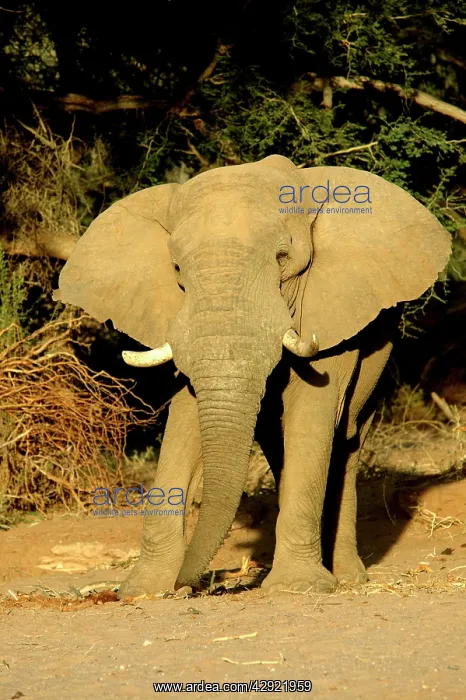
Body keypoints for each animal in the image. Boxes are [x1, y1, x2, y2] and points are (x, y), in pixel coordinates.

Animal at [54, 155, 451, 595]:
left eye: (282, 258)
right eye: (177, 269)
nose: (193, 583)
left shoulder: (329, 308)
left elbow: (313, 415)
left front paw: (298, 587)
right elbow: (185, 421)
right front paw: (145, 590)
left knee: (346, 438)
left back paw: (346, 576)